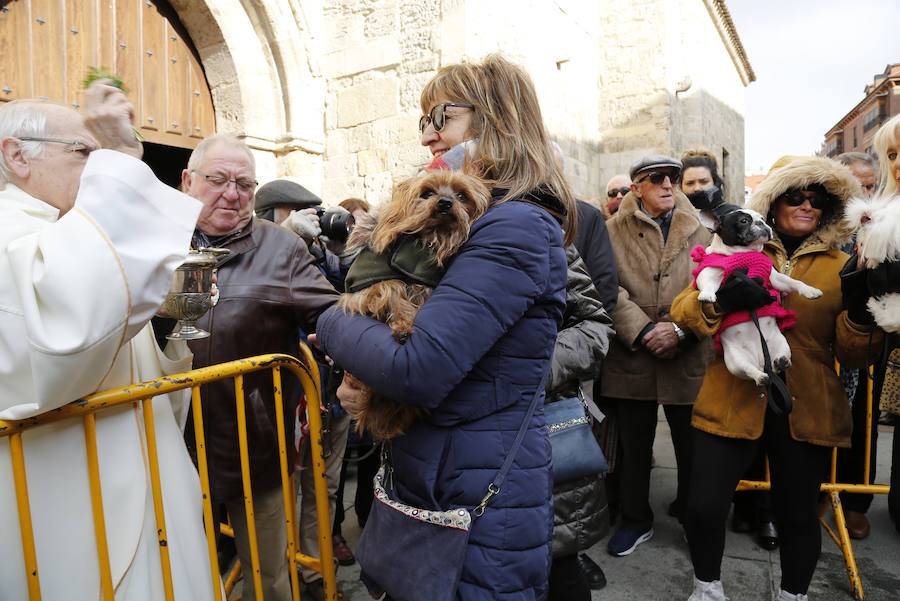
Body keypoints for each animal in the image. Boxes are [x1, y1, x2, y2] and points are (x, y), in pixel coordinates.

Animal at [340, 171, 492, 438]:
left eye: (462, 195)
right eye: (427, 193)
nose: (445, 203)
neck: (431, 237)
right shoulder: (370, 284)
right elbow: (392, 293)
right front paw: (402, 327)